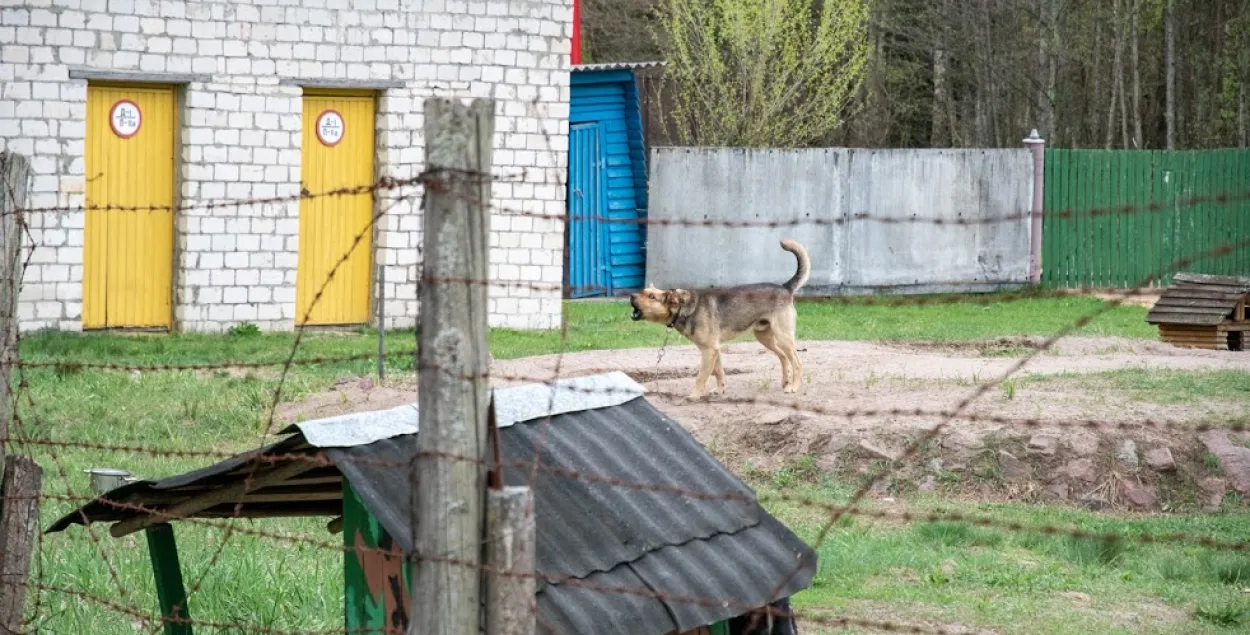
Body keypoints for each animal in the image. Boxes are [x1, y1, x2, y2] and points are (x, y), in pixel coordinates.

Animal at [635, 240, 810, 400]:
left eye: (652, 297)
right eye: (642, 292)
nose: (631, 296)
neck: (684, 306)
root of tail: (785, 287)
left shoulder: (709, 351)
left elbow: (701, 377)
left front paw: (694, 396)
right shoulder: (714, 349)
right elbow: (718, 372)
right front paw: (720, 390)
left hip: (783, 337)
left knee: (797, 362)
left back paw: (793, 387)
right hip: (765, 337)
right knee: (783, 357)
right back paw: (786, 382)